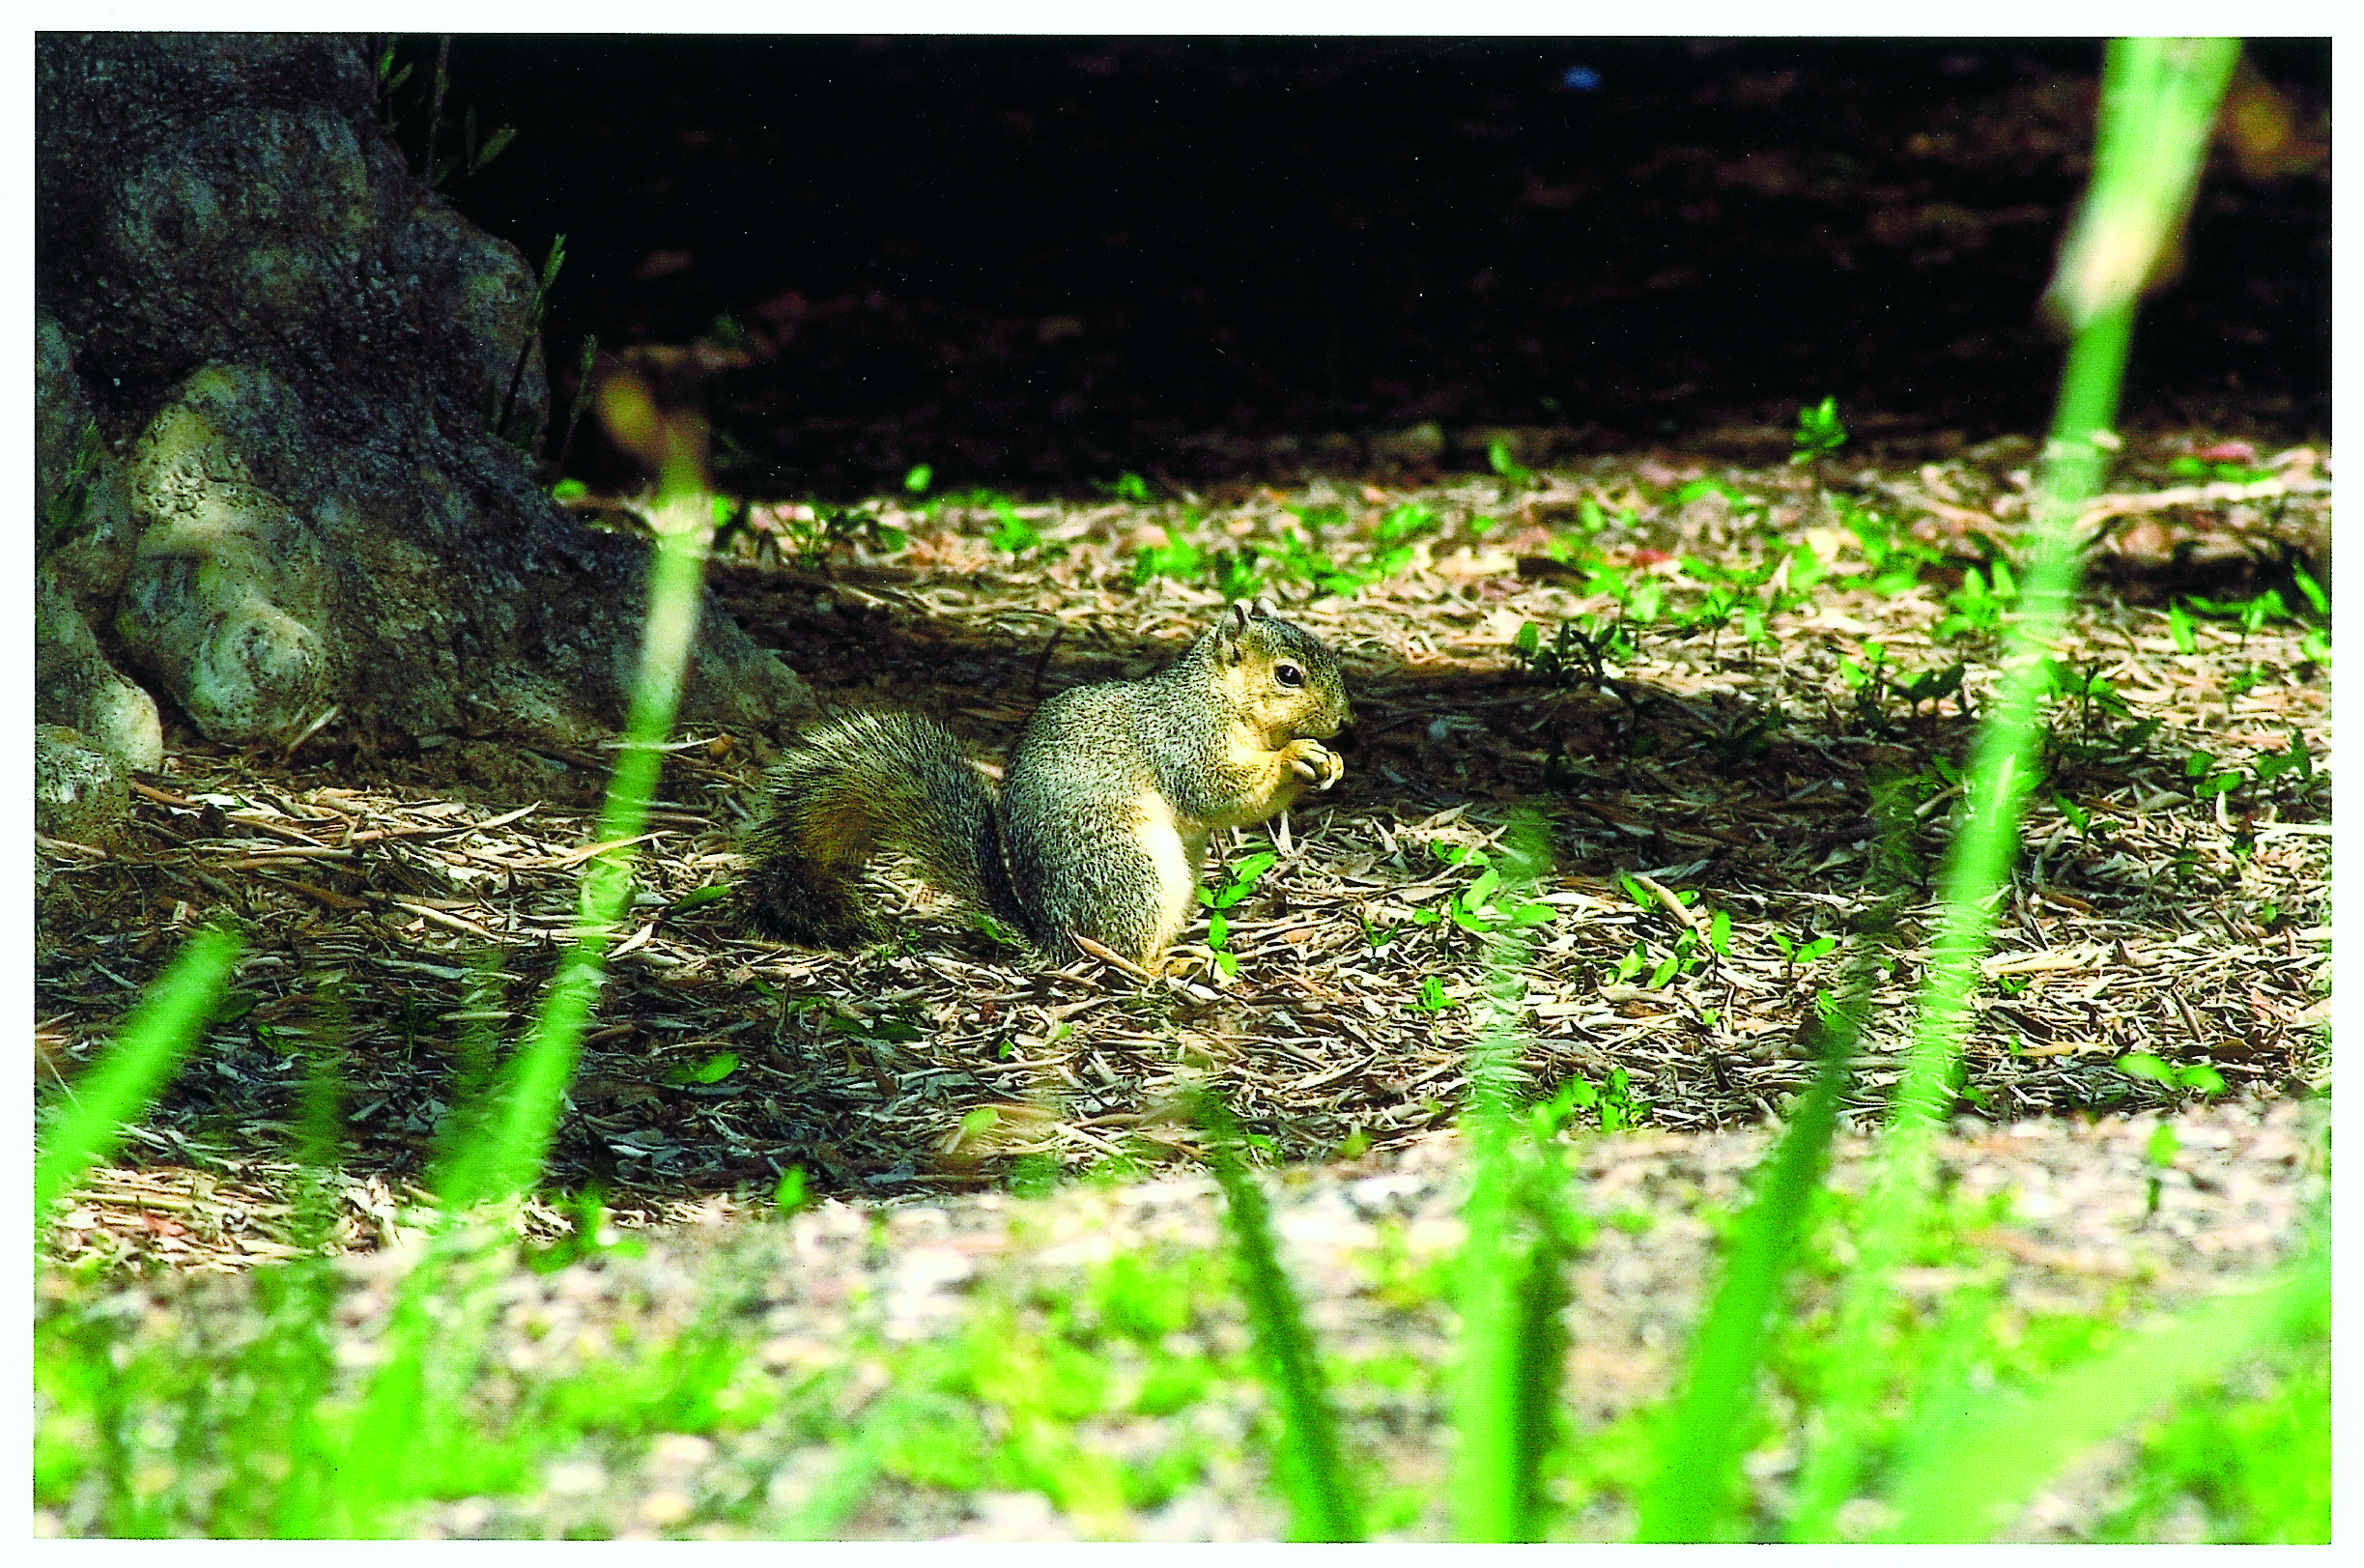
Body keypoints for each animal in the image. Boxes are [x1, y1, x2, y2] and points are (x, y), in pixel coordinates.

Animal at [747, 600, 1361, 969]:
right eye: (1288, 675)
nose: (1345, 724)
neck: (1224, 700)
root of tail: (1050, 934)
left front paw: (1330, 764)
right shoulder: (1183, 741)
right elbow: (1219, 791)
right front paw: (1297, 757)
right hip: (1127, 869)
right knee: (1122, 950)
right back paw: (1161, 966)